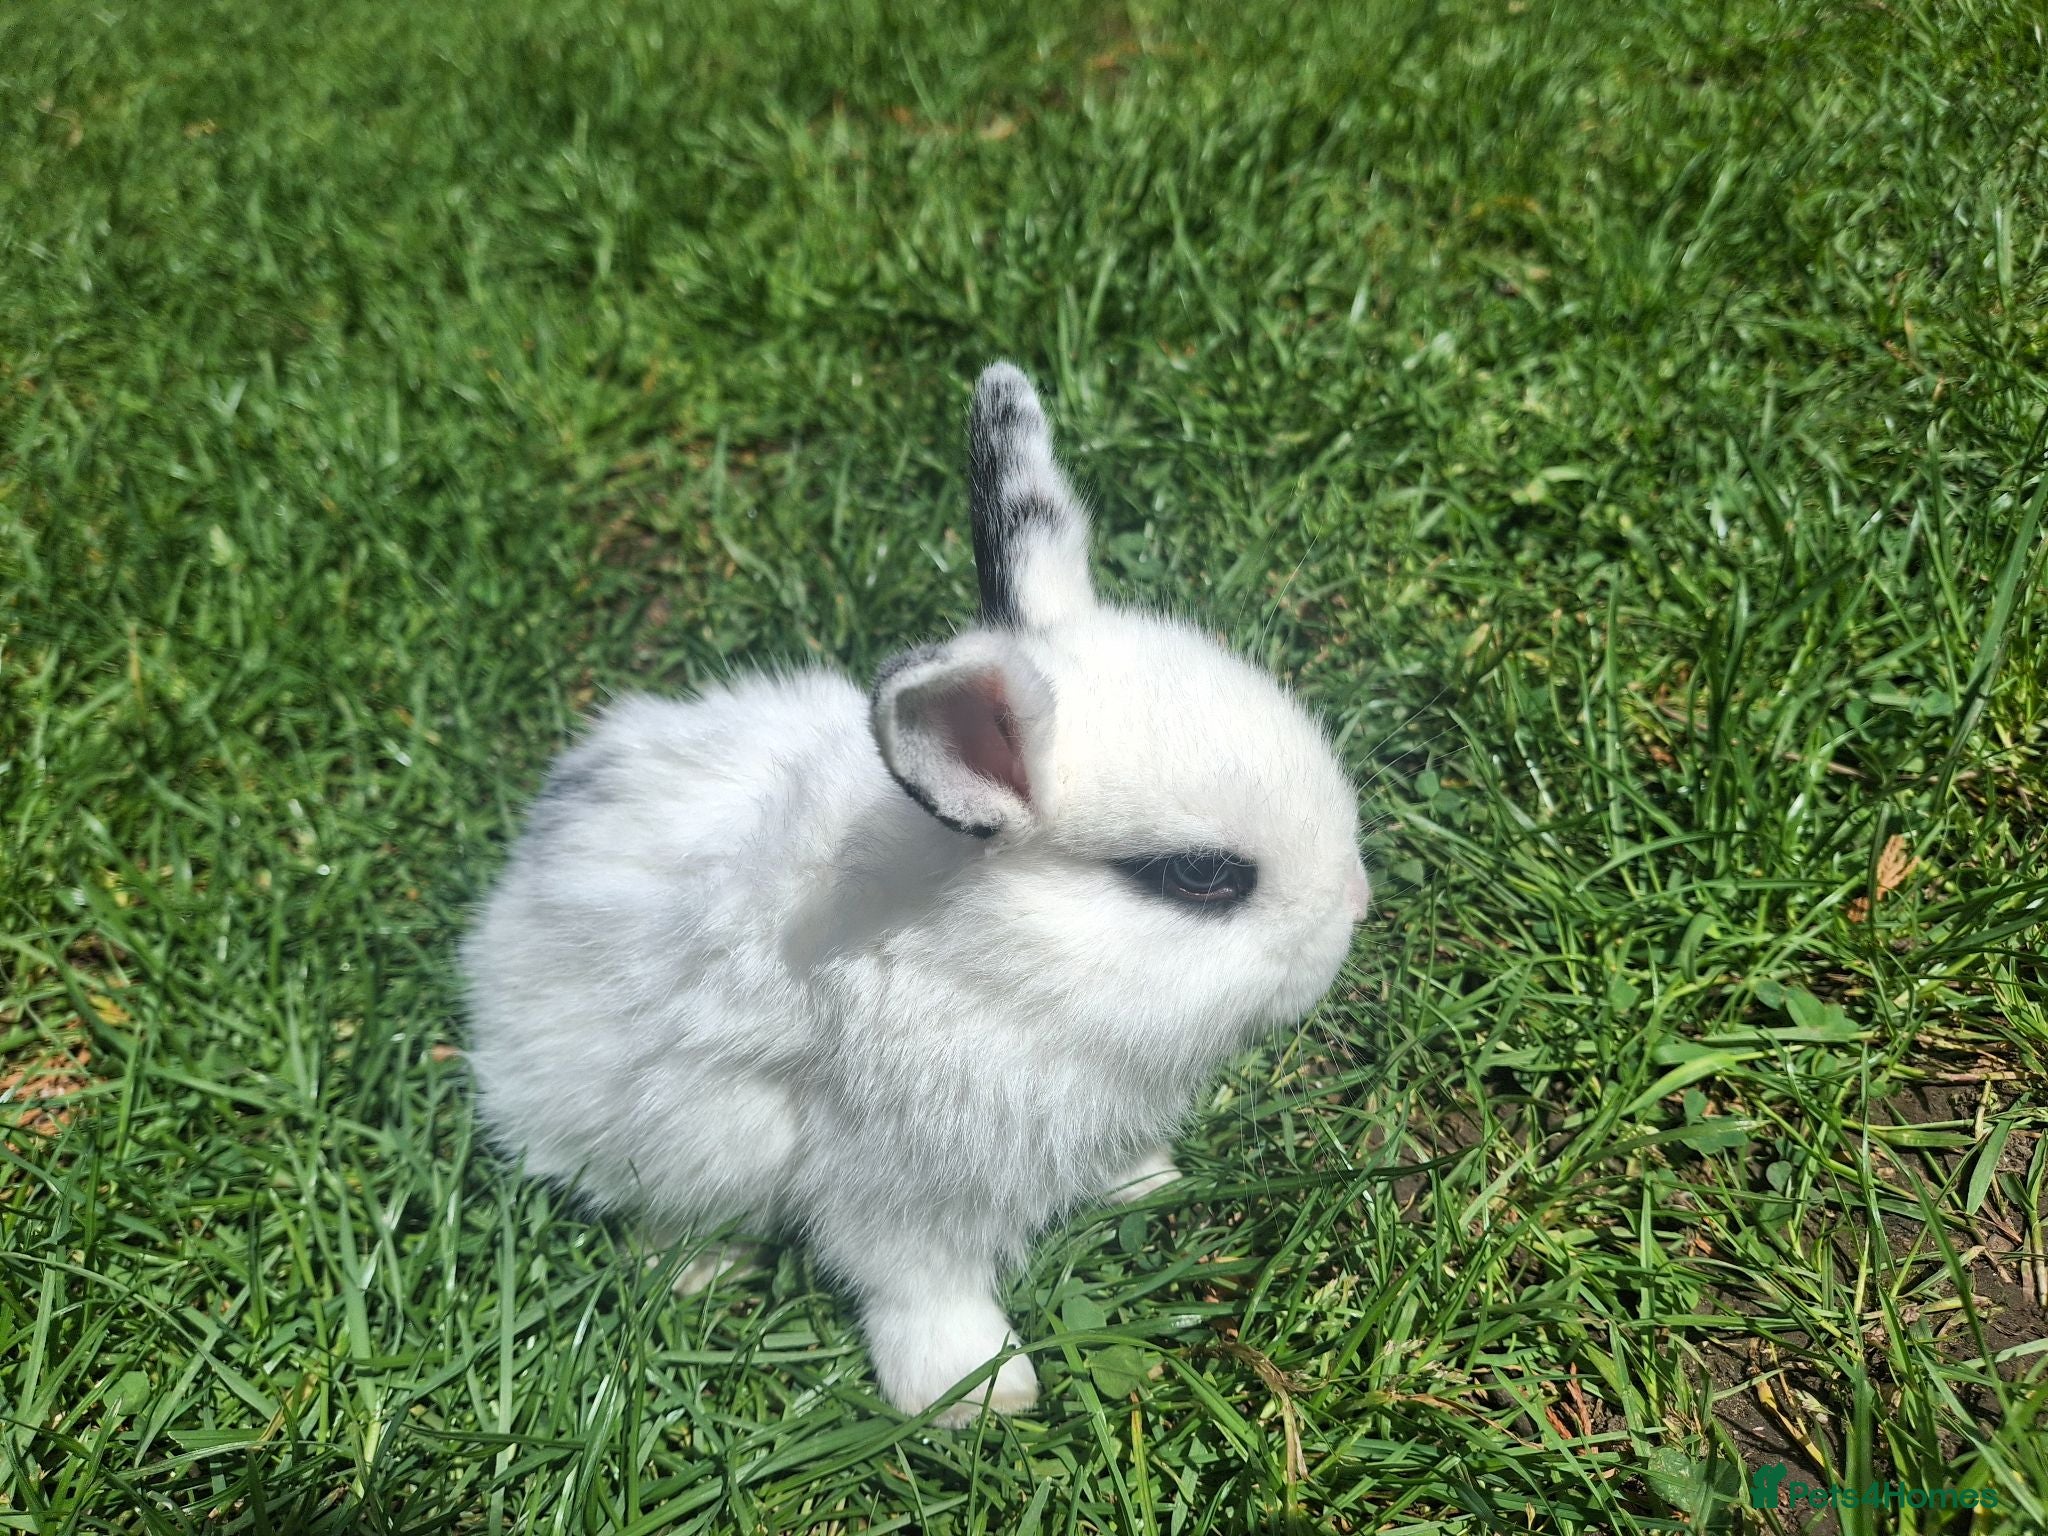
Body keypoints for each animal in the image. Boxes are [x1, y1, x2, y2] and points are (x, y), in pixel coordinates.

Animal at [462, 362, 1369, 1425]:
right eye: (1199, 876)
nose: (1356, 904)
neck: (996, 964)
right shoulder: (896, 1188)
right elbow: (918, 1288)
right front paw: (977, 1394)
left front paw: (1151, 1186)